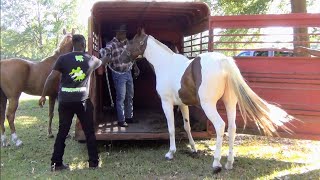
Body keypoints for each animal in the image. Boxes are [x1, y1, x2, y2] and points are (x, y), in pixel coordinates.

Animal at [119, 29, 294, 173]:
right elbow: (187, 126)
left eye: (131, 42)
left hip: (208, 105)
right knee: (232, 128)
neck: (166, 64)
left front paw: (170, 153)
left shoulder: (167, 104)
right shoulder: (183, 105)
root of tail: (223, 61)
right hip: (230, 103)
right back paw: (229, 163)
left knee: (220, 126)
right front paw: (193, 148)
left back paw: (216, 163)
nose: (121, 59)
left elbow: (171, 128)